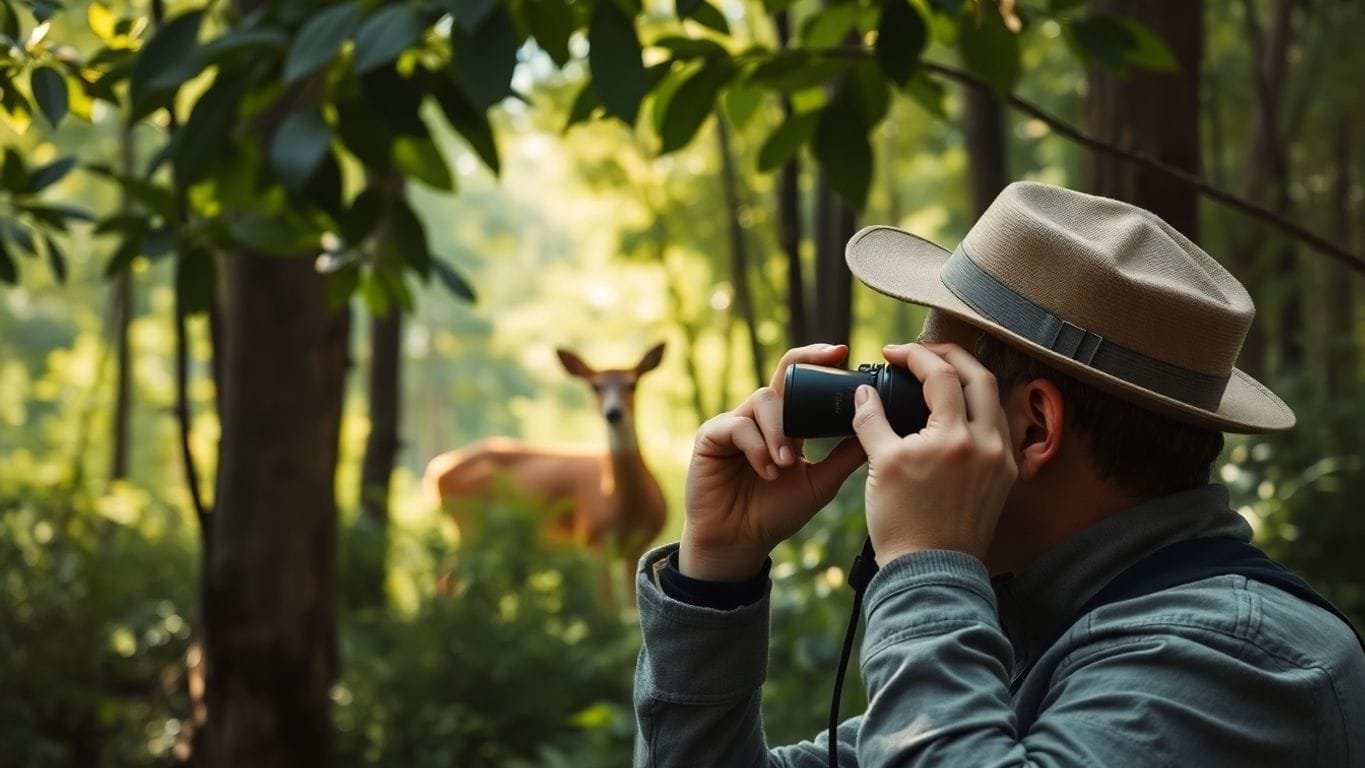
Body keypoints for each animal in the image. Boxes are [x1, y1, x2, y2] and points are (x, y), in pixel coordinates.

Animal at [420, 343, 666, 608]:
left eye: (632, 384)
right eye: (595, 386)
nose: (613, 413)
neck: (622, 502)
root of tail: (435, 471)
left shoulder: (638, 544)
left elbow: (629, 608)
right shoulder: (593, 538)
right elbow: (607, 606)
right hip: (468, 523)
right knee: (448, 577)